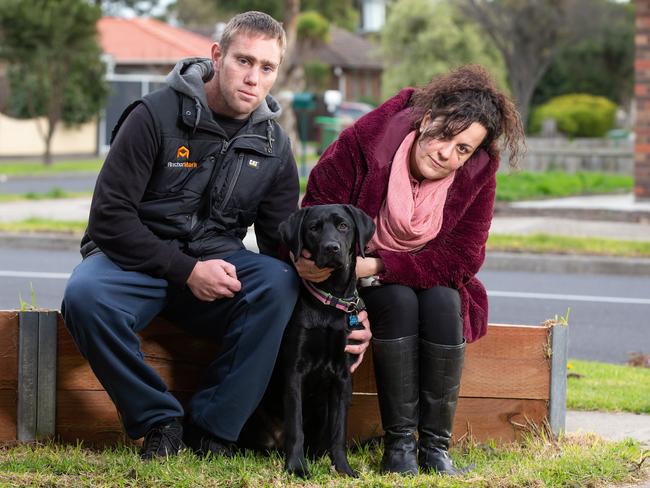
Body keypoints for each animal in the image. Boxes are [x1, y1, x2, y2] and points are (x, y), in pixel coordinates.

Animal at [274, 203, 374, 476]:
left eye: (343, 226)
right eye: (314, 228)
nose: (332, 248)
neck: (329, 301)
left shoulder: (342, 376)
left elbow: (338, 431)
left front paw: (343, 468)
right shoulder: (294, 371)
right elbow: (296, 426)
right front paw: (296, 467)